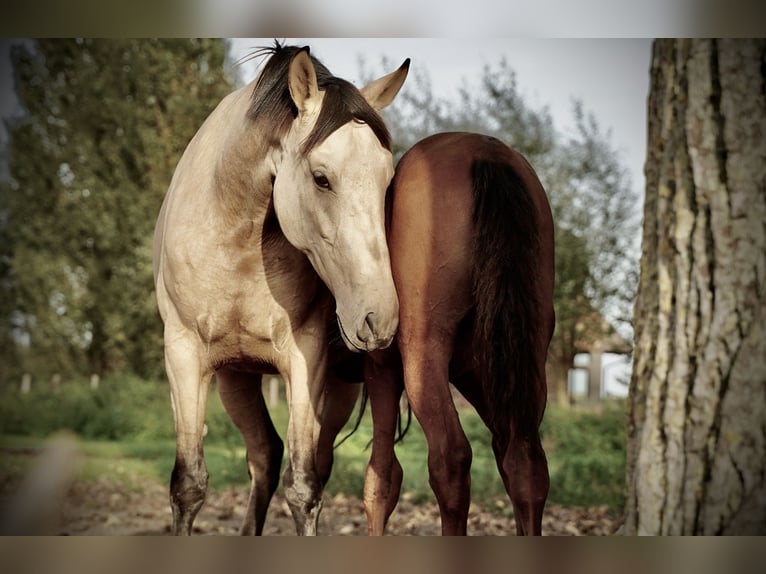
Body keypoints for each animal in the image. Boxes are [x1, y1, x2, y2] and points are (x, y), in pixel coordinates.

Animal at [152, 42, 412, 536]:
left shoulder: (305, 360)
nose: (380, 319)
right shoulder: (184, 356)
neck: (237, 243)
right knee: (264, 456)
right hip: (235, 378)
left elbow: (304, 487)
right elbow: (189, 484)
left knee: (308, 462)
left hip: (336, 390)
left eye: (389, 182)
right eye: (321, 178)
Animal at [364, 133, 556, 536]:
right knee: (526, 461)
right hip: (523, 362)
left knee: (450, 459)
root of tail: (486, 152)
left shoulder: (381, 369)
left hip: (424, 356)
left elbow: (381, 478)